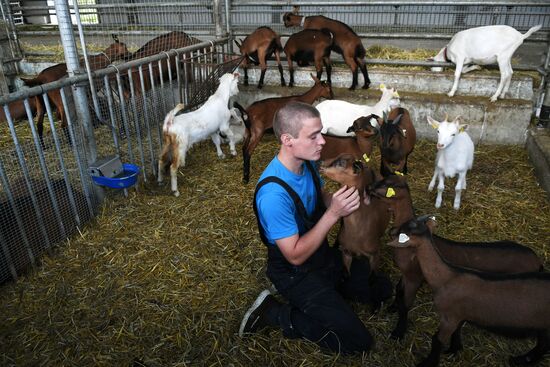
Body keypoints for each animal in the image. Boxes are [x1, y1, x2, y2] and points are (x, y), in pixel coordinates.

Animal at [368, 174, 544, 340]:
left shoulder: (414, 276)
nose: (369, 187)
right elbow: (399, 290)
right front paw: (392, 308)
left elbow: (406, 304)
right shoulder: (406, 273)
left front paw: (398, 332)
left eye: (387, 184)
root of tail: (538, 261)